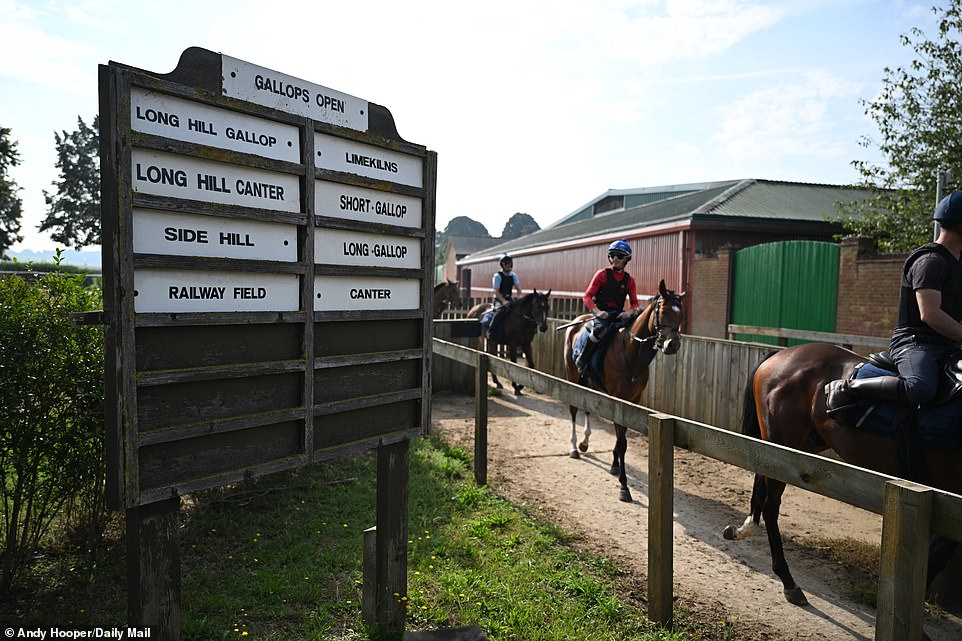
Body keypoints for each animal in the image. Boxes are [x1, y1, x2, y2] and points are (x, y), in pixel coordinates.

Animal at [560, 280, 688, 504]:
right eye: (663, 311)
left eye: (680, 315)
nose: (672, 345)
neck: (631, 352)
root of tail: (577, 321)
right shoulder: (618, 398)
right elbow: (622, 442)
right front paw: (624, 486)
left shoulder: (632, 400)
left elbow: (622, 436)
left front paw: (614, 465)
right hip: (572, 377)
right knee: (574, 408)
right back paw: (575, 447)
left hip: (588, 382)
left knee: (586, 407)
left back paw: (584, 442)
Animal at [724, 342, 956, 608]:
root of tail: (781, 353)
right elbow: (938, 553)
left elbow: (940, 551)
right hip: (782, 443)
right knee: (771, 506)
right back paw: (789, 582)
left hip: (800, 443)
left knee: (760, 480)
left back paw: (744, 530)